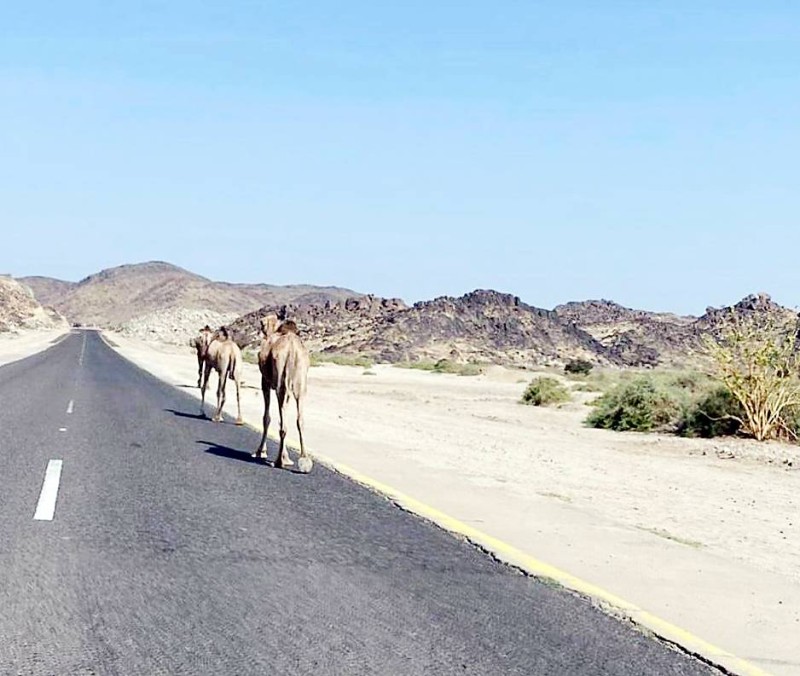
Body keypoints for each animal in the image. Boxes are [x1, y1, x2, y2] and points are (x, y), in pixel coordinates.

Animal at [253, 314, 312, 472]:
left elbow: (266, 417)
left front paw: (260, 451)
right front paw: (287, 458)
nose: (261, 327)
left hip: (281, 383)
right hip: (300, 385)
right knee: (300, 420)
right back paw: (305, 461)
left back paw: (279, 461)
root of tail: (292, 351)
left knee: (282, 425)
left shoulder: (265, 382)